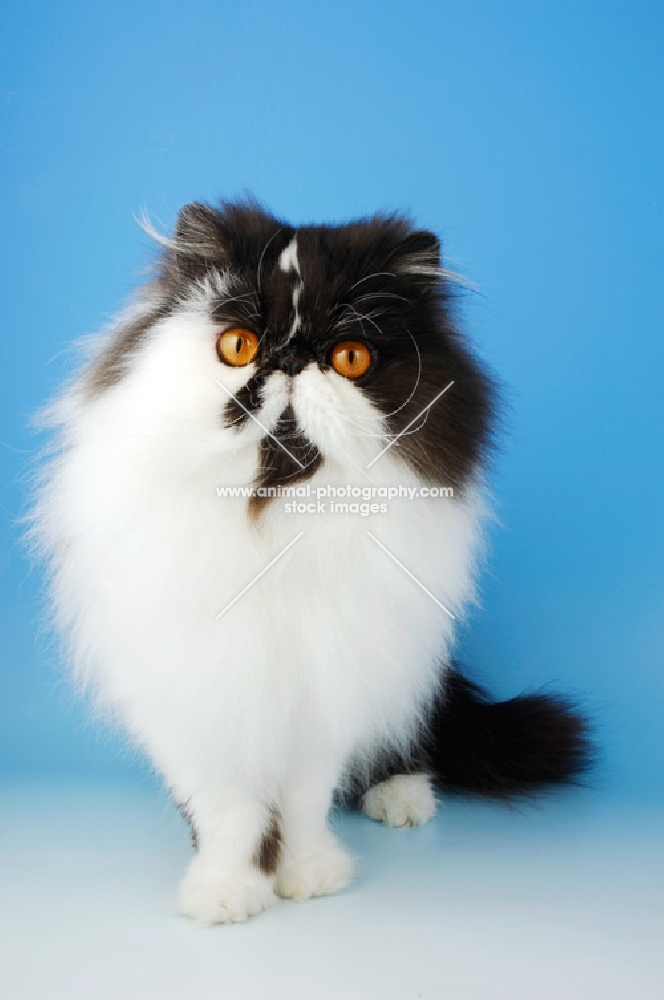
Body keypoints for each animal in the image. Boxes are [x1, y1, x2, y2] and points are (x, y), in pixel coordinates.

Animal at [31, 201, 592, 920]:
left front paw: (309, 876)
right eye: (239, 346)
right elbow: (228, 811)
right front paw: (226, 892)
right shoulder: (194, 694)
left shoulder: (327, 690)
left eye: (349, 358)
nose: (293, 361)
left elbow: (304, 801)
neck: (274, 524)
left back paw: (402, 798)